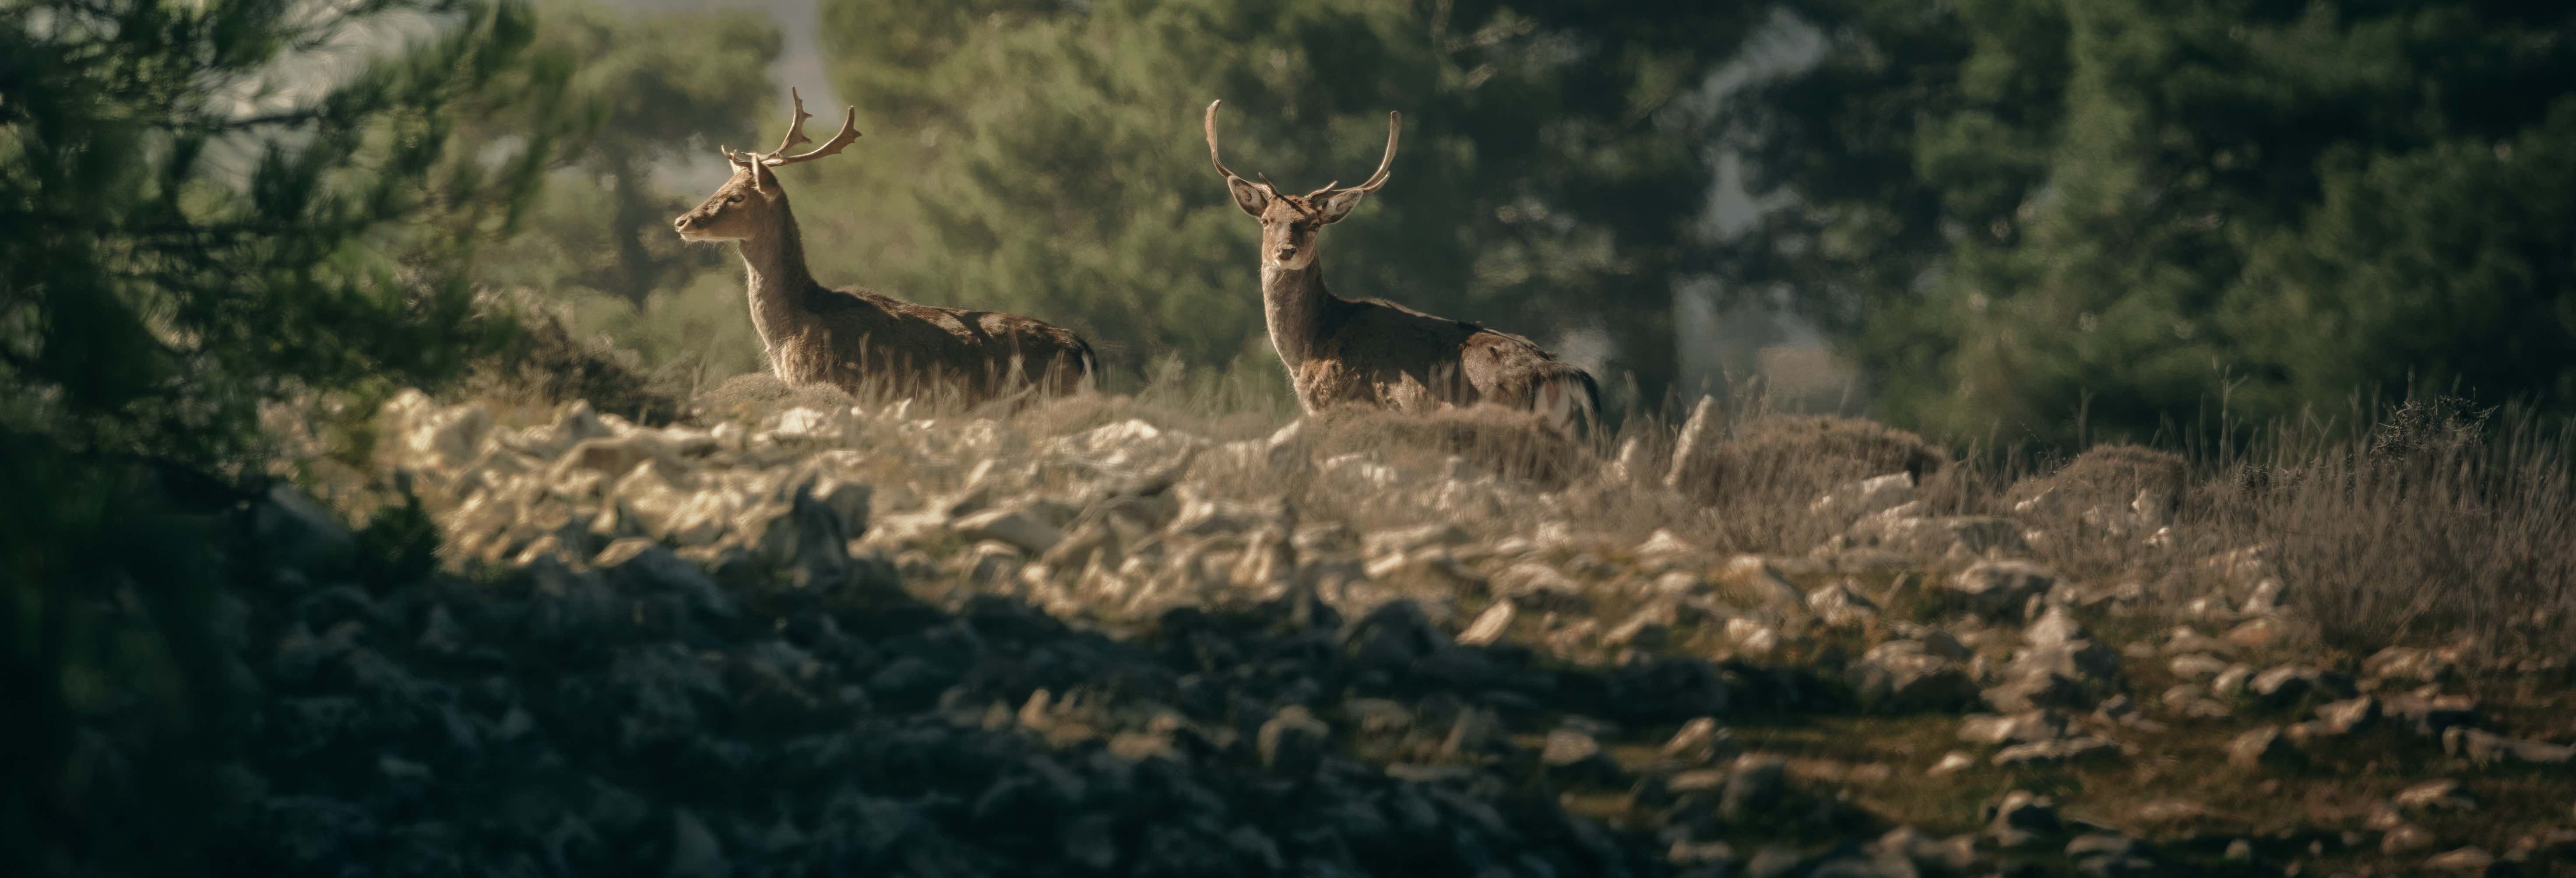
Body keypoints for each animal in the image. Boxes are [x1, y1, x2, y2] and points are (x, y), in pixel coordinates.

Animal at [675, 87, 1097, 401]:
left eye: (738, 197)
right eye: (722, 184)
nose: (683, 221)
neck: (792, 332)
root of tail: (1082, 350)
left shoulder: (842, 386)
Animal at [1200, 101, 1587, 432]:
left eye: (1313, 224)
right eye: (1267, 220)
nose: (1286, 250)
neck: (1309, 348)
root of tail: (1560, 373)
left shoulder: (1339, 404)